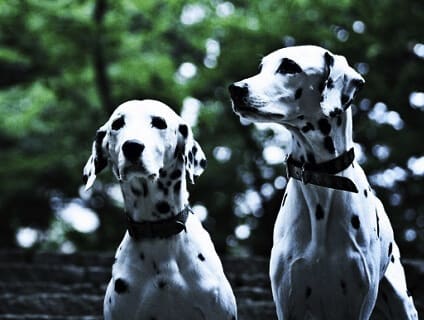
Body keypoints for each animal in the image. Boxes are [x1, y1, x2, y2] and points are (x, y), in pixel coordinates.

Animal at [229, 45, 418, 320]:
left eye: (289, 67)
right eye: (261, 68)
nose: (235, 89)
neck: (320, 180)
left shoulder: (358, 306)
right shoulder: (288, 305)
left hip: (402, 303)